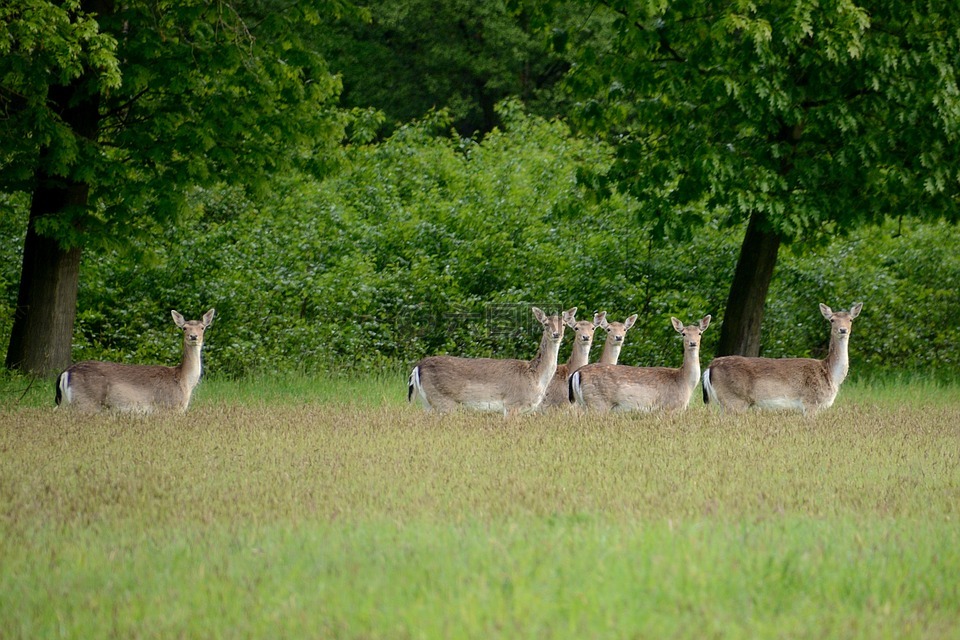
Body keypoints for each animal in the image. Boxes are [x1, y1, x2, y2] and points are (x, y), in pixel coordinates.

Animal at [55, 308, 216, 413]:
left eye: (202, 327)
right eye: (184, 328)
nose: (193, 336)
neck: (185, 382)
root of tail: (65, 373)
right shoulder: (168, 407)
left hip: (67, 403)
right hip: (85, 403)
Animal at [408, 307, 570, 416]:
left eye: (564, 324)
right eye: (545, 323)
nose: (556, 334)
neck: (536, 379)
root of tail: (417, 367)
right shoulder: (512, 404)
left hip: (428, 404)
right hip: (443, 401)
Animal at [570, 315, 711, 412]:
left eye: (699, 333)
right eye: (683, 333)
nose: (693, 343)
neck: (685, 383)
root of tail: (577, 373)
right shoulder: (669, 407)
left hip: (583, 404)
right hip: (597, 403)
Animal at [702, 302, 863, 415]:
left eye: (850, 319)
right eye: (832, 320)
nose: (843, 330)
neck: (831, 374)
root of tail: (710, 367)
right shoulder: (811, 402)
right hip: (733, 400)